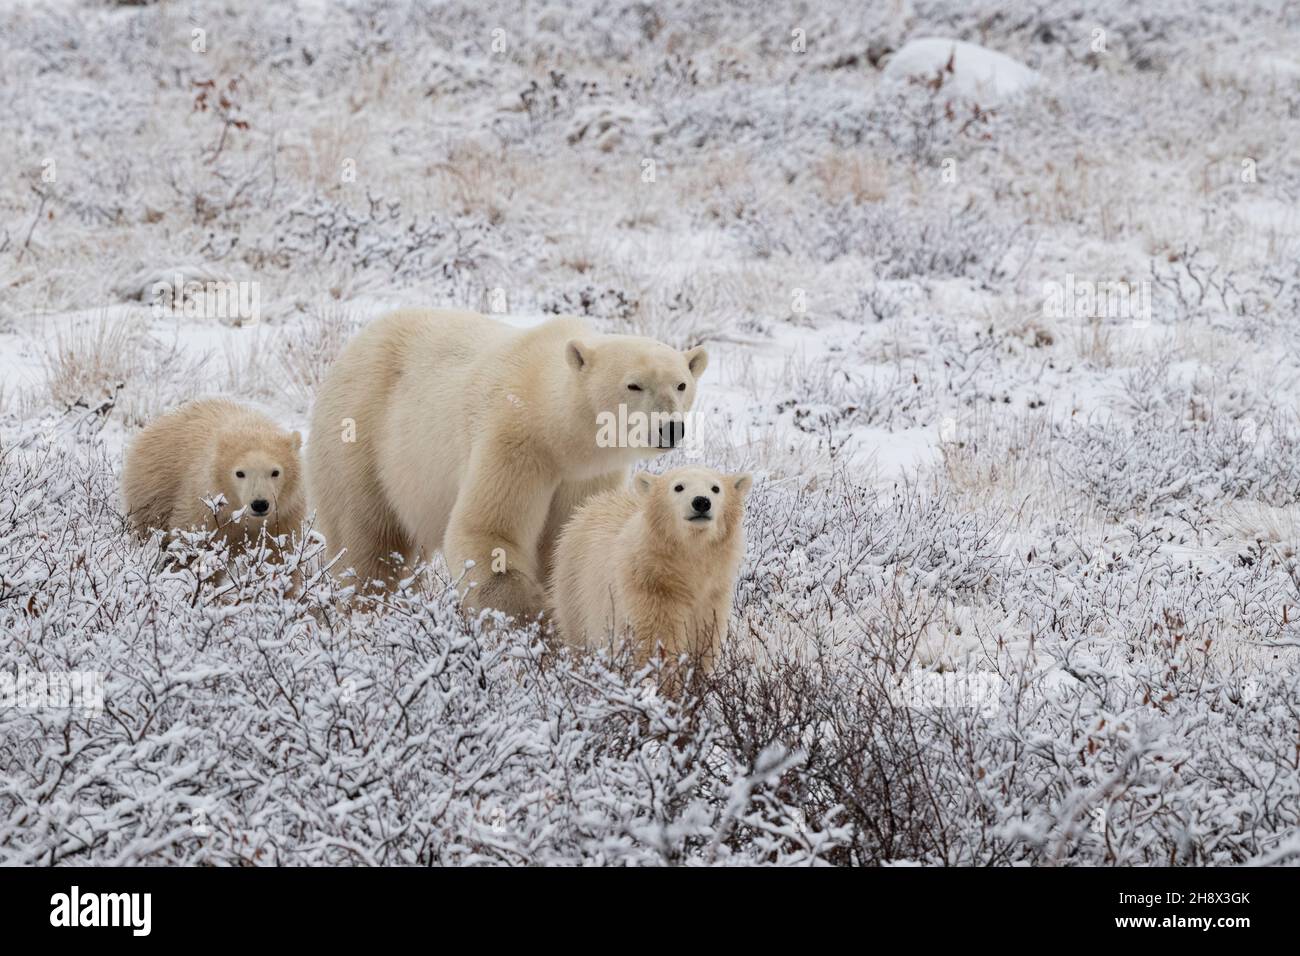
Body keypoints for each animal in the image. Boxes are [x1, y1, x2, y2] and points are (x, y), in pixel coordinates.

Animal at [308, 308, 707, 621]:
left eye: (681, 384)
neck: (559, 434)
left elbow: (570, 538)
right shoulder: (514, 441)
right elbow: (488, 532)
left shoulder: (588, 475)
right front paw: (535, 620)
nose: (671, 427)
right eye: (634, 385)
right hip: (362, 432)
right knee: (367, 539)